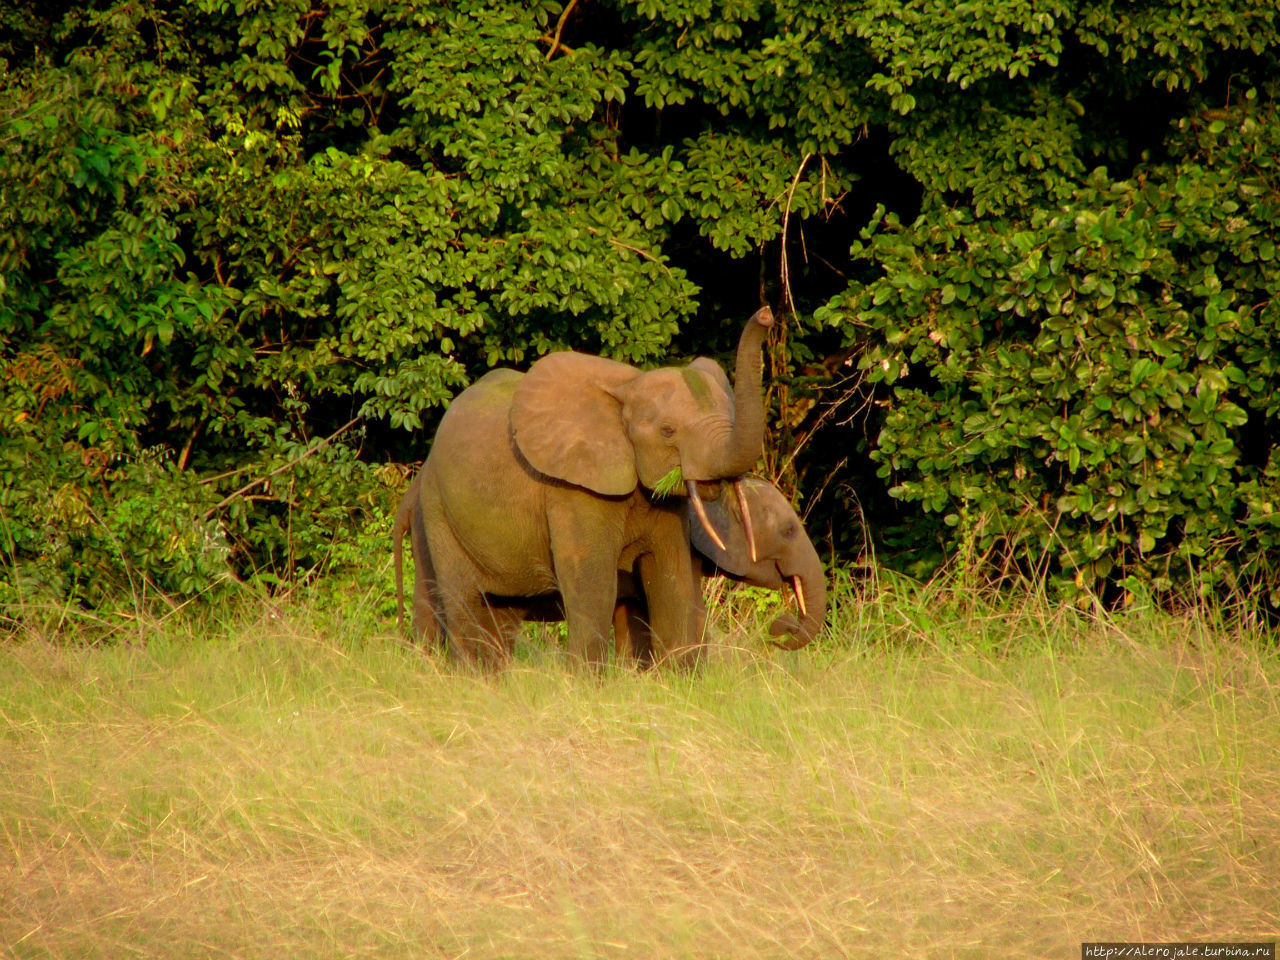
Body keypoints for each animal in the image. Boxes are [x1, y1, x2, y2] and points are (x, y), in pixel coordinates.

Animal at [391, 308, 768, 670]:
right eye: (668, 431)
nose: (765, 314)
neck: (628, 388)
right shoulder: (572, 489)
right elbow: (593, 585)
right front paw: (588, 684)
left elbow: (671, 580)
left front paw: (678, 682)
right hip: (438, 511)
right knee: (462, 602)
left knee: (499, 614)